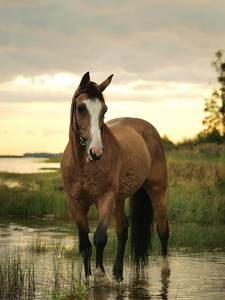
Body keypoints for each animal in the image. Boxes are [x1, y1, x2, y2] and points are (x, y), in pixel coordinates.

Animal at [60, 71, 170, 280]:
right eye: (80, 108)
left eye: (104, 110)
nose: (96, 151)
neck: (82, 163)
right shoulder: (74, 203)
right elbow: (84, 244)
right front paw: (87, 278)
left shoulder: (105, 198)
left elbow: (100, 237)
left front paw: (99, 274)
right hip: (119, 199)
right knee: (123, 229)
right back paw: (118, 270)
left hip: (157, 191)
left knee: (162, 229)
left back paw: (165, 269)